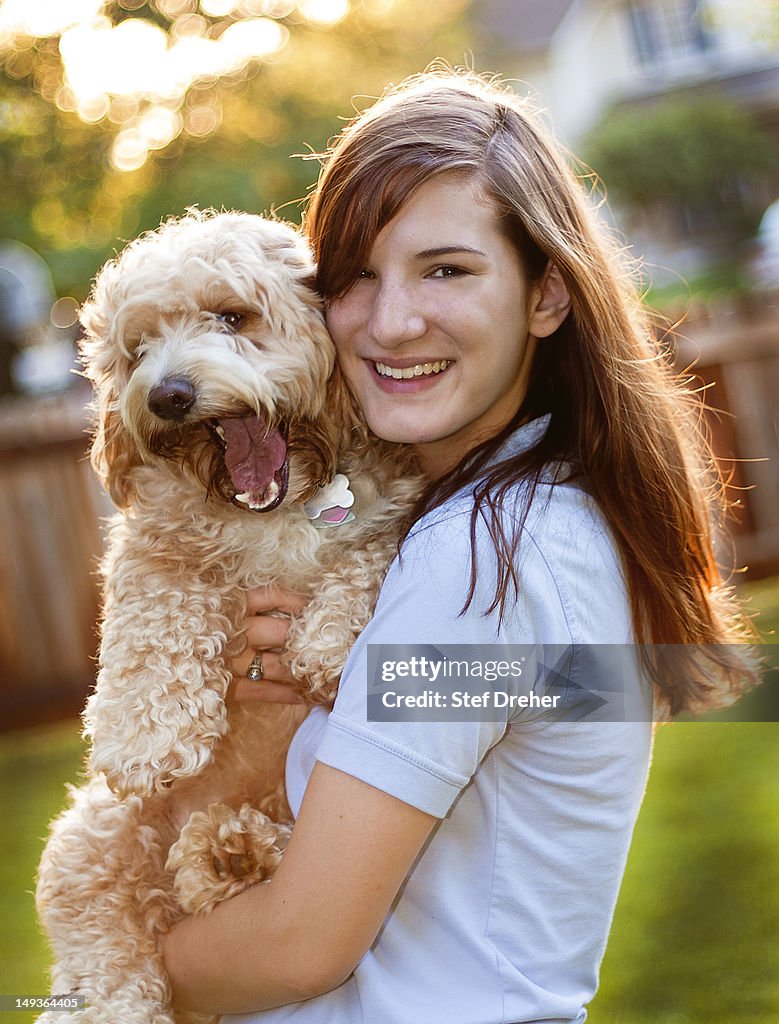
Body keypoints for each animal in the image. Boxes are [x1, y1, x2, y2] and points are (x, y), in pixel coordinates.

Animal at [37, 209, 419, 1024]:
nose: (167, 395)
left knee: (210, 880)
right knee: (109, 953)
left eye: (232, 317)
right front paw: (145, 738)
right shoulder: (155, 551)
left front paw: (332, 644)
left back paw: (230, 852)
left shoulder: (391, 515)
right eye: (137, 350)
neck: (280, 502)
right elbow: (153, 623)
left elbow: (369, 558)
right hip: (93, 841)